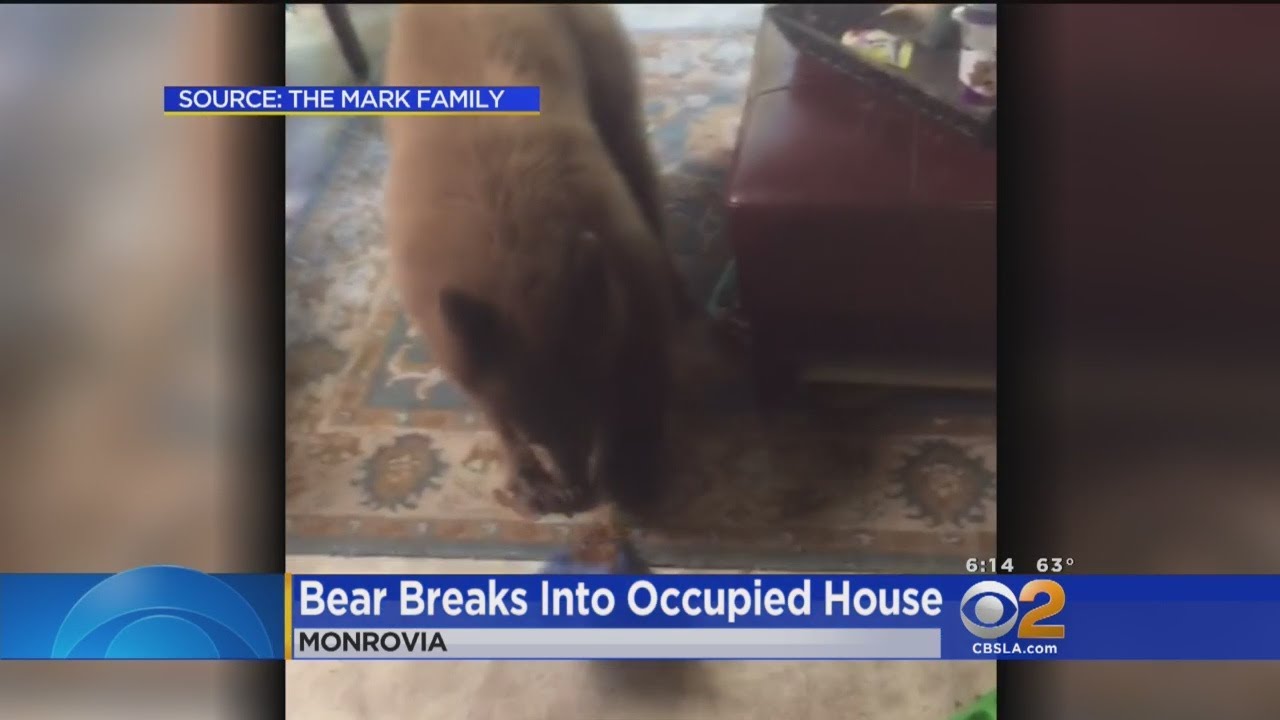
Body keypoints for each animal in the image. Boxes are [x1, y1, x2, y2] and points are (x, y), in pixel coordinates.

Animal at [382, 4, 690, 518]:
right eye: (535, 432)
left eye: (592, 404)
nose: (578, 493)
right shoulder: (458, 332)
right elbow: (489, 401)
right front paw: (529, 475)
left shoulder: (625, 264)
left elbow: (645, 361)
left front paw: (634, 460)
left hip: (611, 90)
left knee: (635, 159)